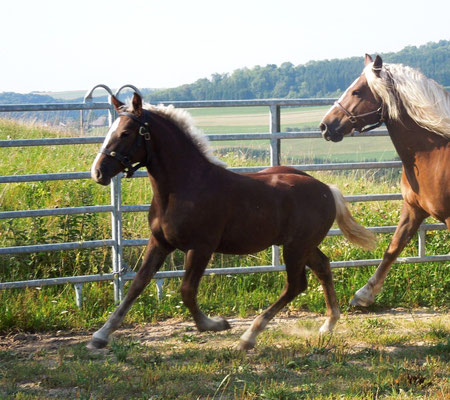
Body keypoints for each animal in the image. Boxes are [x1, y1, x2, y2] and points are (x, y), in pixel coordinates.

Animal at [86, 94, 374, 350]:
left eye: (125, 133)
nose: (97, 172)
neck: (184, 186)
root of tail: (327, 189)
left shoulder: (201, 247)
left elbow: (187, 290)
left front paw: (215, 324)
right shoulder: (159, 242)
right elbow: (137, 284)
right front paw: (100, 336)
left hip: (296, 248)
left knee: (296, 284)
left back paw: (249, 337)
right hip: (303, 246)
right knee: (322, 267)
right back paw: (328, 323)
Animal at [320, 54, 450, 306]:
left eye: (357, 92)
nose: (325, 125)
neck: (433, 155)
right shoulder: (413, 209)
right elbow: (393, 247)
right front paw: (363, 295)